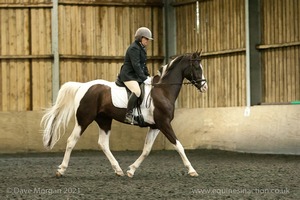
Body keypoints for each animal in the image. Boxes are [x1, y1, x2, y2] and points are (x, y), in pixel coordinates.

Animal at [41, 50, 207, 177]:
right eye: (196, 67)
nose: (205, 87)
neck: (163, 90)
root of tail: (83, 86)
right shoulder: (164, 124)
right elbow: (179, 146)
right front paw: (192, 170)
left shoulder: (155, 126)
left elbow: (146, 150)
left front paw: (131, 170)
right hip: (84, 120)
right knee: (71, 141)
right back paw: (61, 170)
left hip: (104, 120)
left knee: (103, 143)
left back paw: (118, 170)